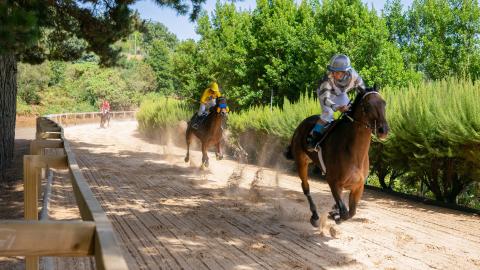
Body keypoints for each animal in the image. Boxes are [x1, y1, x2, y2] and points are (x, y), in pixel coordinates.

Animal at [284, 86, 390, 226]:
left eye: (384, 103)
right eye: (367, 105)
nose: (383, 130)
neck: (354, 153)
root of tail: (301, 125)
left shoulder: (358, 186)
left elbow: (352, 212)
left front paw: (335, 212)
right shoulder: (333, 182)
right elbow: (344, 213)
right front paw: (336, 215)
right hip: (301, 162)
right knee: (305, 187)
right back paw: (315, 216)